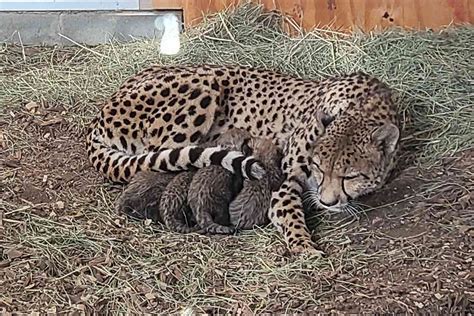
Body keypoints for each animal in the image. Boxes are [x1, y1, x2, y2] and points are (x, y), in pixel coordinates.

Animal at [86, 65, 400, 254]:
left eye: (351, 175)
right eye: (318, 168)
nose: (327, 201)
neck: (365, 105)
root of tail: (100, 114)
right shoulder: (283, 184)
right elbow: (291, 214)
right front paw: (304, 246)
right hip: (204, 86)